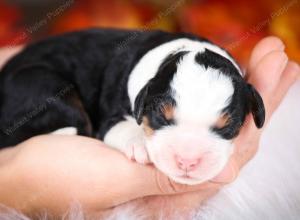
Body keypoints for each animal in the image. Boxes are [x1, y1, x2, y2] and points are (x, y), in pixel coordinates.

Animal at [0, 28, 264, 185]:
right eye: (161, 117)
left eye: (227, 127)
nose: (187, 162)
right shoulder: (110, 118)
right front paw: (140, 144)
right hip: (45, 87)